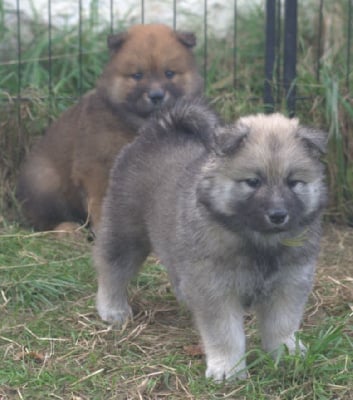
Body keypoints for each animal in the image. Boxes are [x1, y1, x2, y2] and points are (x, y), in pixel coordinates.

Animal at [17, 24, 204, 231]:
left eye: (169, 73)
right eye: (137, 75)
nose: (156, 95)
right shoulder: (96, 168)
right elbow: (101, 204)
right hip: (45, 180)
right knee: (46, 217)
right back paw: (67, 229)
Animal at [93, 100, 328, 382]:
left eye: (294, 182)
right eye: (253, 181)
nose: (278, 215)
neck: (260, 242)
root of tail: (158, 131)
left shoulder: (289, 283)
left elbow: (282, 324)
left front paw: (287, 352)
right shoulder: (216, 288)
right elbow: (225, 333)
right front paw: (228, 368)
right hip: (126, 231)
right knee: (113, 268)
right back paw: (112, 308)